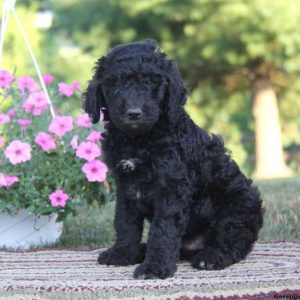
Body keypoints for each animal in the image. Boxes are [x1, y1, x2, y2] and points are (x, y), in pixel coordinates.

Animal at [83, 39, 264, 278]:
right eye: (116, 83)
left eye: (150, 82)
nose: (134, 113)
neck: (139, 139)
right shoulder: (126, 185)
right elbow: (125, 222)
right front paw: (123, 254)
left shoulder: (171, 186)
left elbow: (163, 229)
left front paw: (154, 268)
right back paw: (143, 250)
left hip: (239, 203)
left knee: (234, 241)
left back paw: (210, 257)